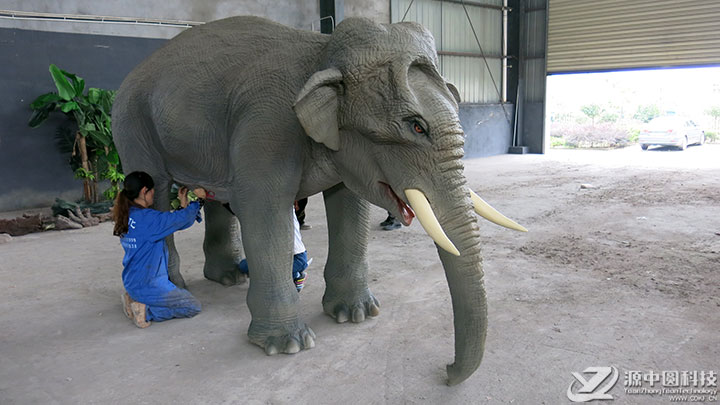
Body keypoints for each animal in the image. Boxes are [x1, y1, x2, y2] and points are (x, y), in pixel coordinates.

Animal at [112, 15, 526, 386]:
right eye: (416, 126)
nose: (448, 372)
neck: (322, 53)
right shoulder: (267, 124)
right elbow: (262, 211)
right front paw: (288, 345)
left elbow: (350, 205)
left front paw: (357, 315)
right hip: (131, 123)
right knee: (158, 192)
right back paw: (175, 287)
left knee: (214, 197)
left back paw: (227, 277)